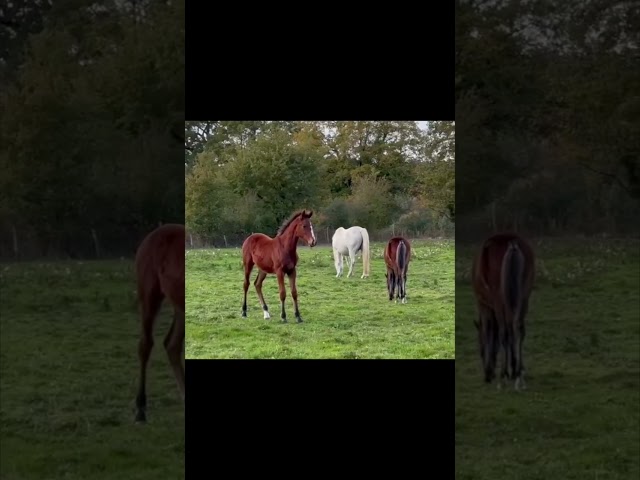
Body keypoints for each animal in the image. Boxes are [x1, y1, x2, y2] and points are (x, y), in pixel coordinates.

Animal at [471, 232, 535, 391]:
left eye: (480, 348)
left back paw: (504, 376)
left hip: (499, 300)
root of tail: (511, 243)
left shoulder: (484, 305)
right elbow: (512, 332)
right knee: (519, 329)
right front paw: (515, 367)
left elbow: (490, 332)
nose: (487, 377)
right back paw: (519, 375)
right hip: (523, 296)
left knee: (504, 333)